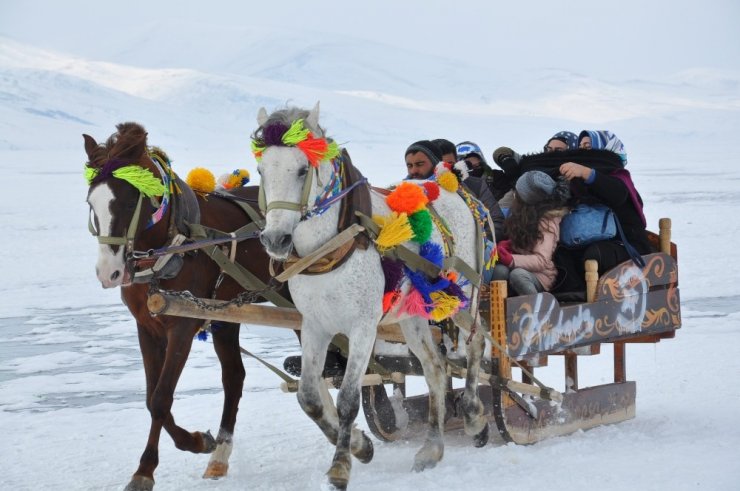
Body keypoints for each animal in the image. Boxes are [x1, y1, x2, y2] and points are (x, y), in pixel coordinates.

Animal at [84, 123, 286, 491]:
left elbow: (161, 398)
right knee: (234, 376)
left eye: (129, 200)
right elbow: (151, 397)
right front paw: (196, 442)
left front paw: (147, 468)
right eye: (92, 202)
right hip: (226, 315)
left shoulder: (182, 326)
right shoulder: (148, 326)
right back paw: (219, 455)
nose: (109, 273)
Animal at [258, 103, 488, 488]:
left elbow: (348, 399)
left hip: (461, 295)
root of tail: (450, 184)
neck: (331, 248)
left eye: (303, 169)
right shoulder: (315, 325)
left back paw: (472, 413)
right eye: (261, 170)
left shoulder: (363, 326)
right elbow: (309, 398)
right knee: (435, 368)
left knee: (478, 340)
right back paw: (432, 448)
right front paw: (360, 445)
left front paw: (341, 467)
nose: (275, 239)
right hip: (413, 315)